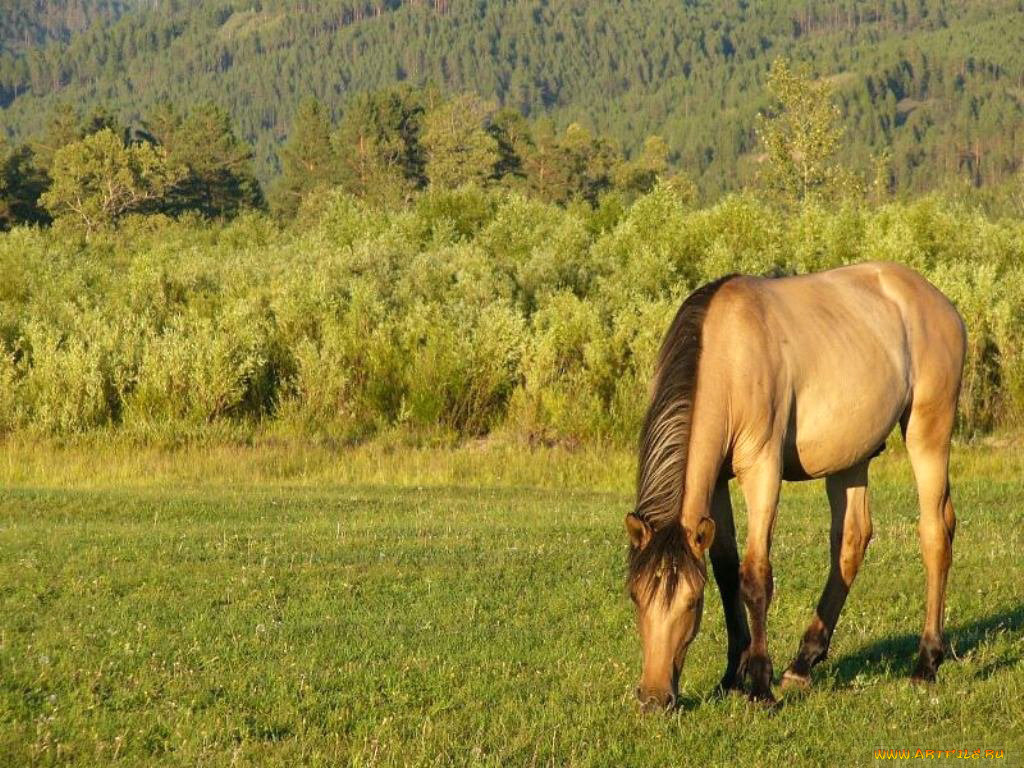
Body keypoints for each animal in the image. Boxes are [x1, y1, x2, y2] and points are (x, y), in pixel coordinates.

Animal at [622, 262, 966, 708]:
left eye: (692, 602)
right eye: (635, 594)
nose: (654, 697)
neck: (727, 355)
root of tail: (940, 302)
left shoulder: (762, 470)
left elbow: (754, 576)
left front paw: (758, 685)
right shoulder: (716, 483)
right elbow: (726, 569)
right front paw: (732, 675)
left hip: (928, 433)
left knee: (935, 533)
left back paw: (926, 663)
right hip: (852, 454)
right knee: (852, 540)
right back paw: (803, 664)